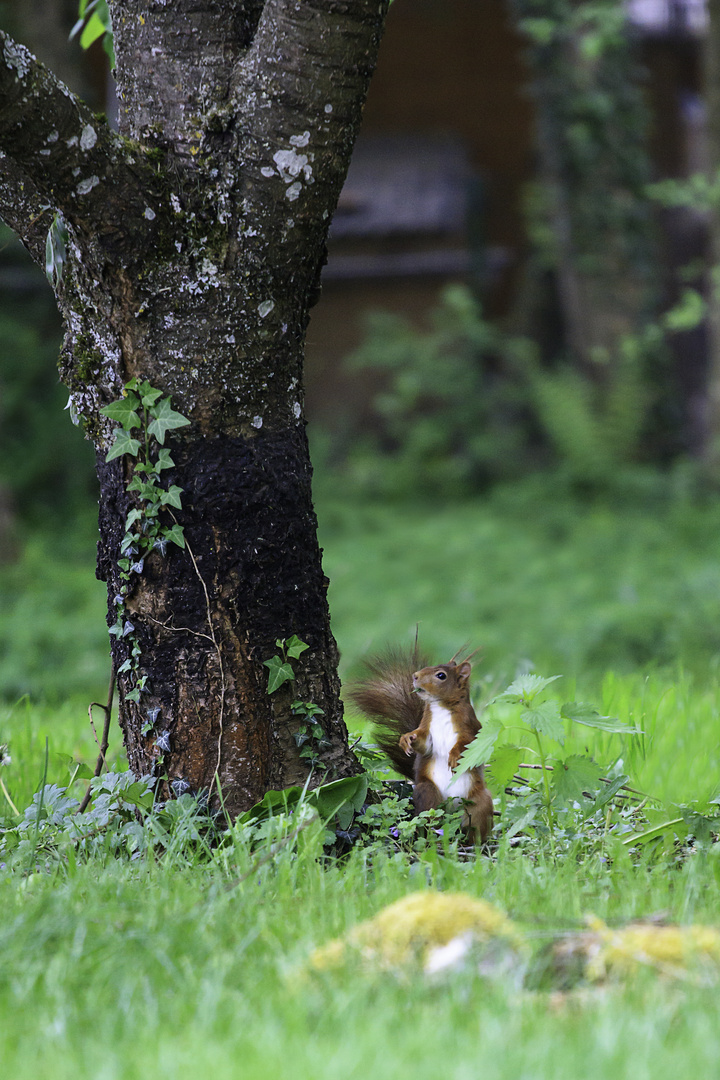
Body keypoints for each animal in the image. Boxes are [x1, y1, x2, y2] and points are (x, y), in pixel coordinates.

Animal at [349, 648, 496, 842]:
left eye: (441, 675)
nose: (415, 676)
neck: (441, 706)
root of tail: (452, 808)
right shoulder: (426, 726)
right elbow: (424, 744)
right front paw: (406, 739)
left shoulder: (471, 727)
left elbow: (469, 745)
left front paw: (454, 756)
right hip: (428, 793)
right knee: (431, 819)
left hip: (478, 802)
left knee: (476, 826)